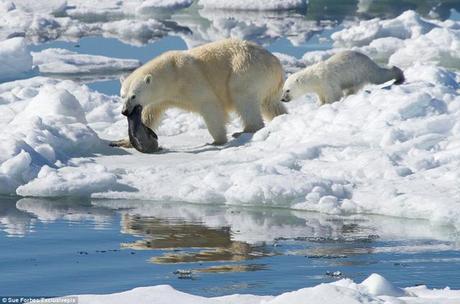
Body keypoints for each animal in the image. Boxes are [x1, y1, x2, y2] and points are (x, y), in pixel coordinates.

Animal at [110, 38, 284, 147]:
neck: (171, 74)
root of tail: (276, 64)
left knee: (243, 97)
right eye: (122, 96)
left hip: (245, 70)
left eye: (133, 96)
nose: (125, 111)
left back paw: (244, 131)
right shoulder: (160, 98)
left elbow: (210, 106)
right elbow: (151, 112)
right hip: (269, 85)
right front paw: (123, 141)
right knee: (271, 104)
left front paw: (217, 141)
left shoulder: (191, 80)